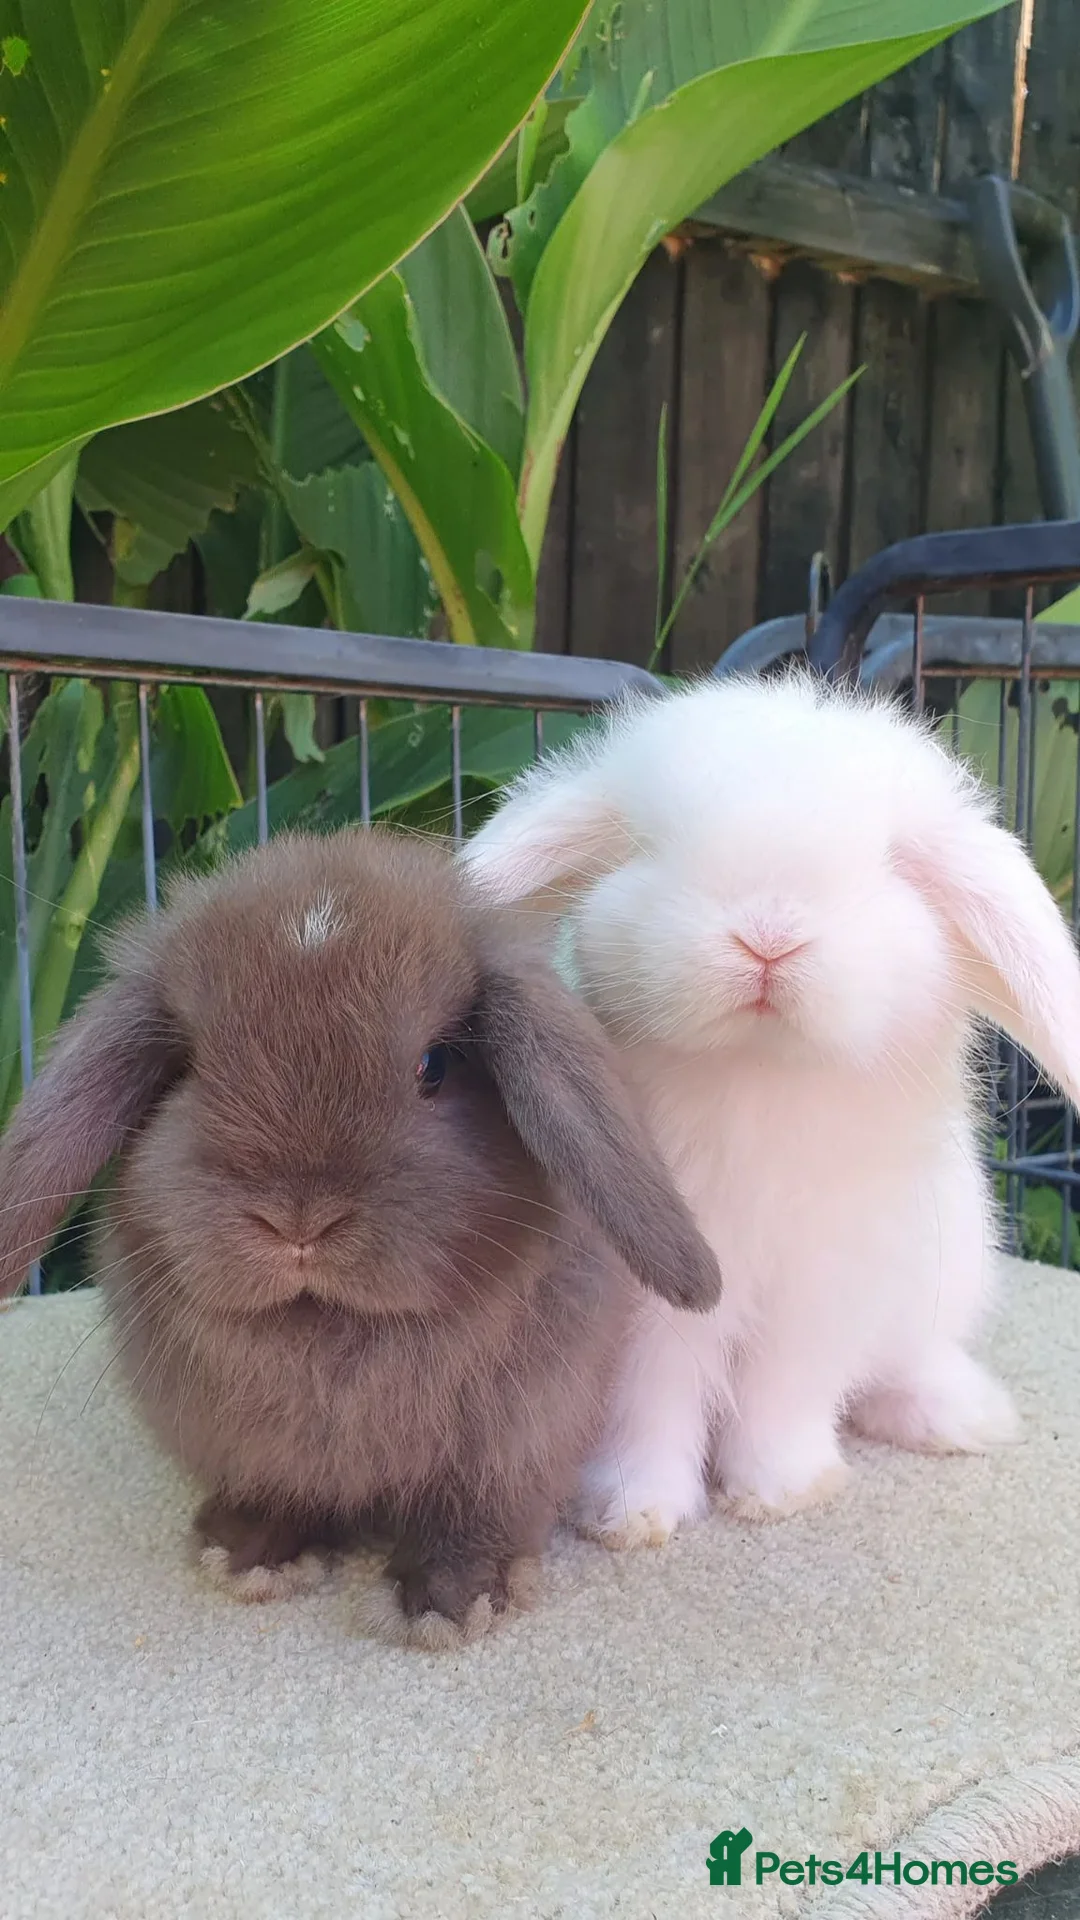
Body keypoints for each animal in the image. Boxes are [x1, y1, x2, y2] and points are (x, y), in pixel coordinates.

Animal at [0, 829, 722, 1644]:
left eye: (435, 1065)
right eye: (188, 1068)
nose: (298, 1222)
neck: (329, 1330)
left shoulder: (514, 1440)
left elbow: (476, 1514)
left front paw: (451, 1602)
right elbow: (274, 1491)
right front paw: (246, 1554)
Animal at [462, 672, 1080, 1546]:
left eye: (892, 866)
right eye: (651, 846)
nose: (768, 936)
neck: (759, 1074)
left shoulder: (823, 1291)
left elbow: (784, 1394)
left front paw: (781, 1492)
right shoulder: (647, 1302)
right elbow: (646, 1402)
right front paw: (629, 1515)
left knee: (908, 1361)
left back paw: (964, 1417)